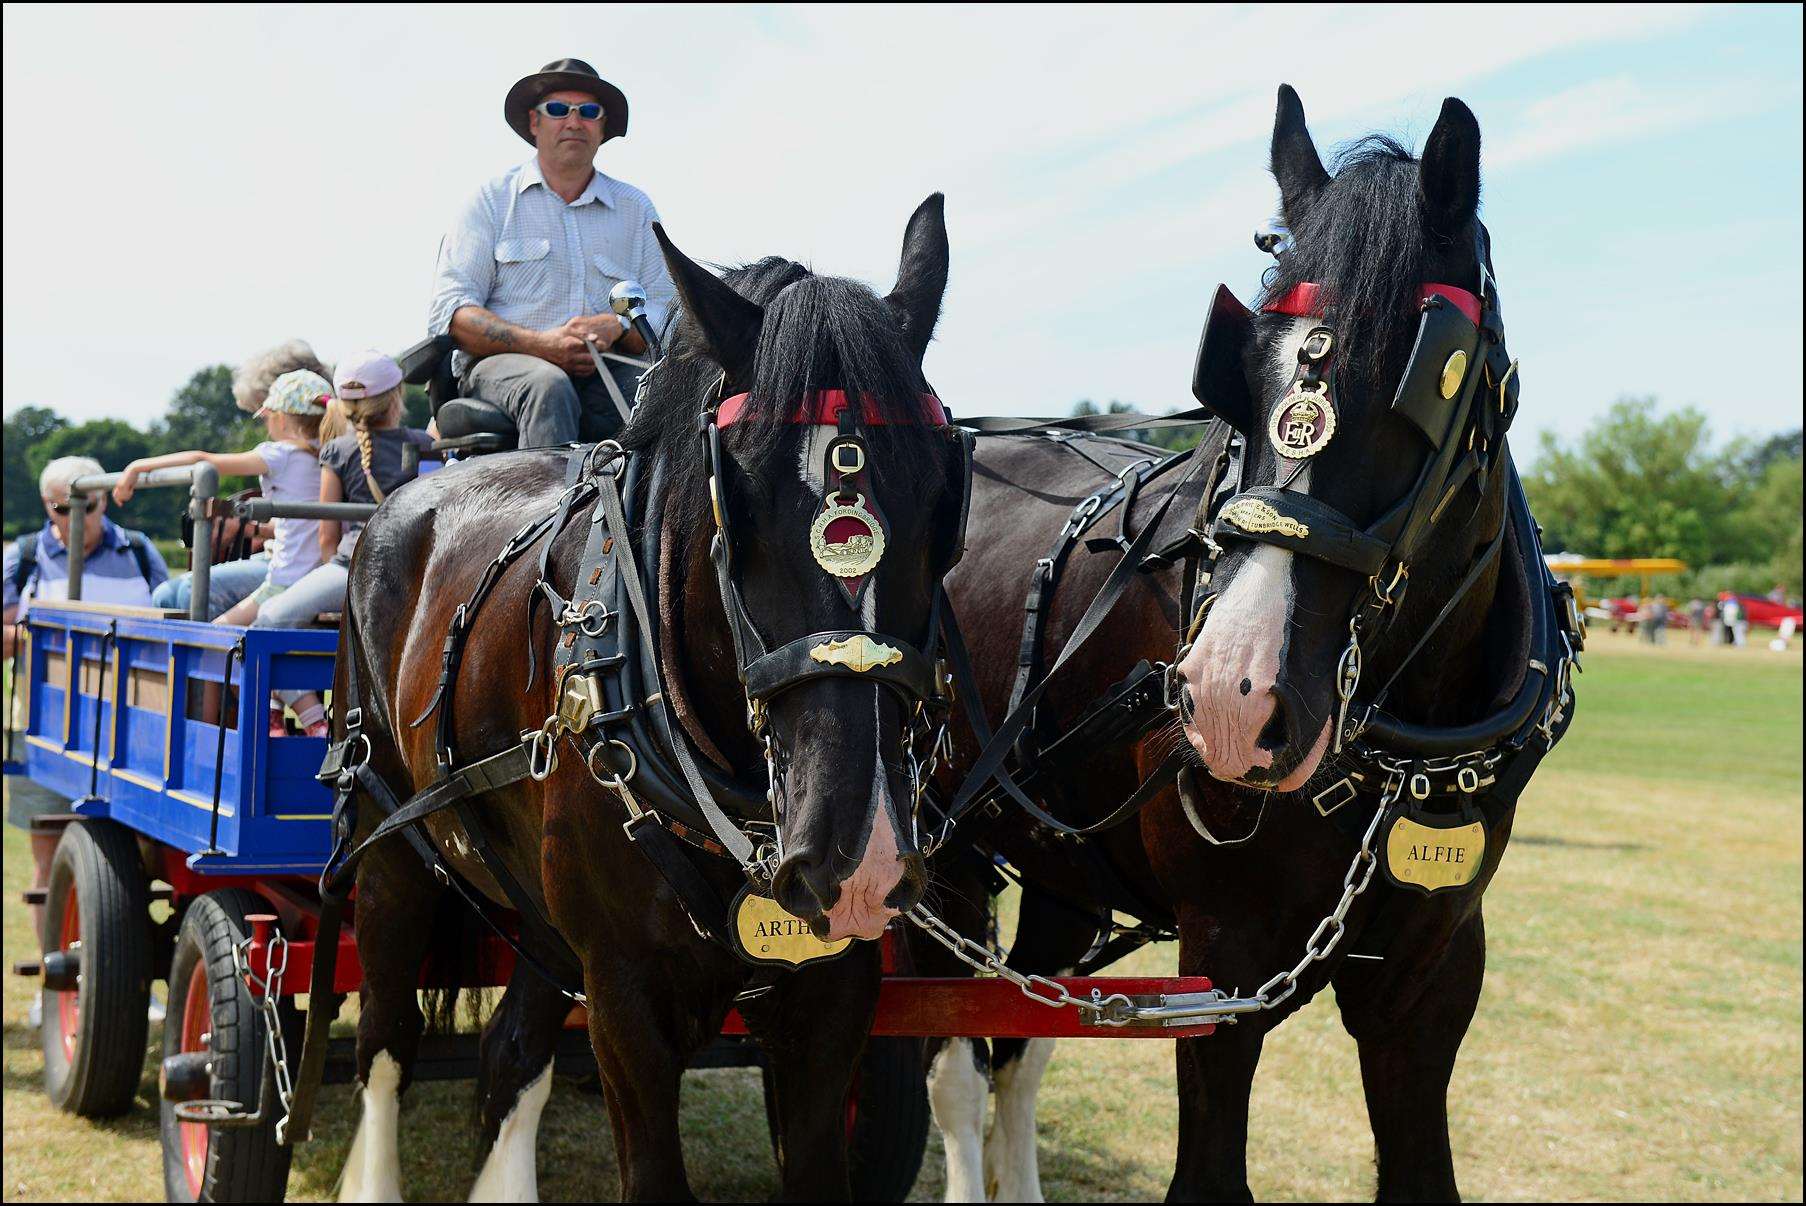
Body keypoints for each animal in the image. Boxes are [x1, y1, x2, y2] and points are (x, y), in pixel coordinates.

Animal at [334, 195, 968, 1198]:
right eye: (734, 498)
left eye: (947, 495)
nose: (855, 852)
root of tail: (408, 497)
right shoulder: (625, 1000)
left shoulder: (835, 996)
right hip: (389, 845)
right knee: (385, 1051)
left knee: (511, 1054)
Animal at [924, 89, 1545, 1198]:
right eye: (1239, 369)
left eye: (1430, 378)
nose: (1232, 697)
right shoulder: (1224, 961)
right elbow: (1206, 1173)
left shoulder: (1433, 976)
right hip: (947, 848)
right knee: (956, 1064)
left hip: (1059, 867)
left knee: (1020, 1040)